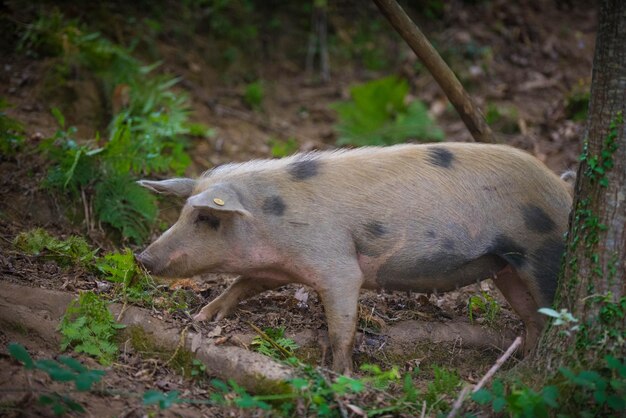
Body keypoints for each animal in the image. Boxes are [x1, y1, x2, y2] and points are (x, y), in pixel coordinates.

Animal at [136, 143, 572, 372]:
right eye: (183, 213)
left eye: (207, 217)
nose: (142, 258)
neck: (271, 221)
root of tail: (564, 190)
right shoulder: (278, 268)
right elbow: (242, 284)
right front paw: (201, 317)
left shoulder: (338, 267)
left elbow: (341, 328)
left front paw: (340, 374)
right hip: (505, 266)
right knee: (533, 318)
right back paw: (522, 368)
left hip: (543, 253)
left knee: (551, 311)